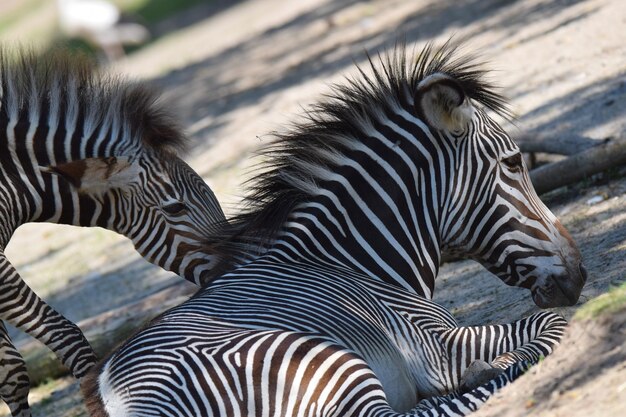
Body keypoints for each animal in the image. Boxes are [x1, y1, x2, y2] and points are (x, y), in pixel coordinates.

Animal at [80, 43, 584, 416]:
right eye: (514, 162)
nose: (579, 276)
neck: (354, 261)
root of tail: (119, 397)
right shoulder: (438, 343)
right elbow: (552, 322)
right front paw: (494, 363)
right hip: (322, 361)